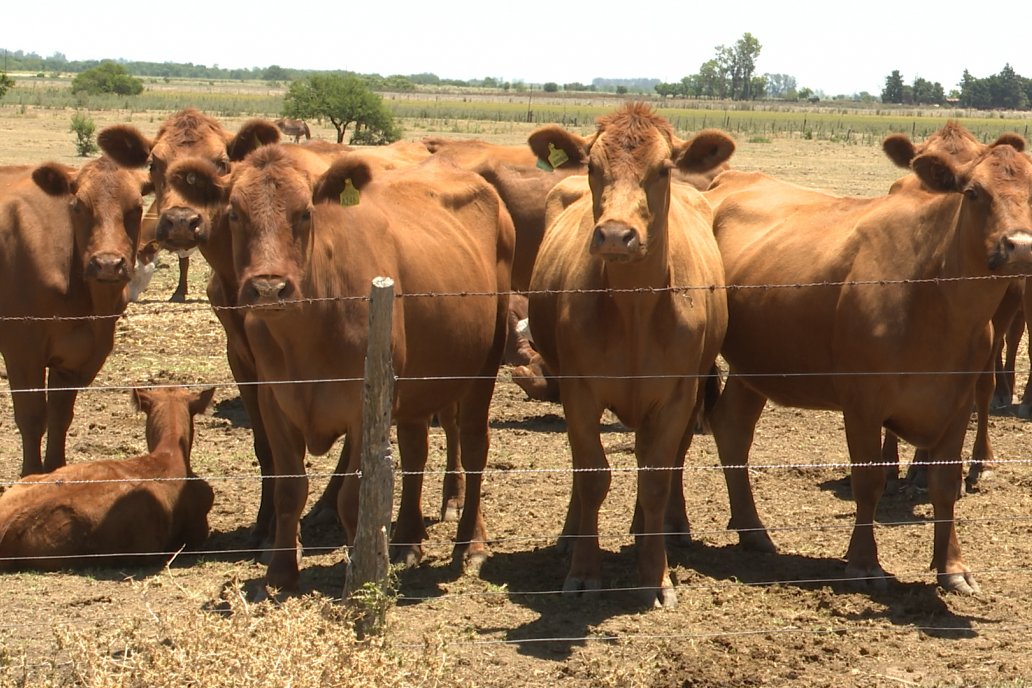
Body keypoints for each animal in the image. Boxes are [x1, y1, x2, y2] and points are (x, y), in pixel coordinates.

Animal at [167, 146, 516, 594]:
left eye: (304, 213)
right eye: (233, 214)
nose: (268, 288)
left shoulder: (361, 407)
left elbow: (354, 495)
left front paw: (360, 573)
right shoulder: (273, 401)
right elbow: (289, 489)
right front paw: (281, 572)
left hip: (482, 368)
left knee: (473, 447)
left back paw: (470, 543)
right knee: (415, 451)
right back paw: (407, 540)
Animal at [524, 103, 734, 606]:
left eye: (663, 169)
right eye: (592, 168)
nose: (617, 235)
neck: (635, 311)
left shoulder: (677, 394)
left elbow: (656, 477)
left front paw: (655, 576)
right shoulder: (578, 392)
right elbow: (592, 475)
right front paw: (584, 571)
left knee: (663, 460)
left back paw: (656, 531)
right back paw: (573, 534)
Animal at [705, 136, 1032, 598]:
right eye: (973, 192)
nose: (1021, 245)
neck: (933, 297)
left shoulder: (955, 403)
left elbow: (945, 485)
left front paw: (952, 567)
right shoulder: (862, 404)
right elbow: (869, 480)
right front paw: (862, 562)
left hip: (753, 370)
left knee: (732, 428)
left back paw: (753, 530)